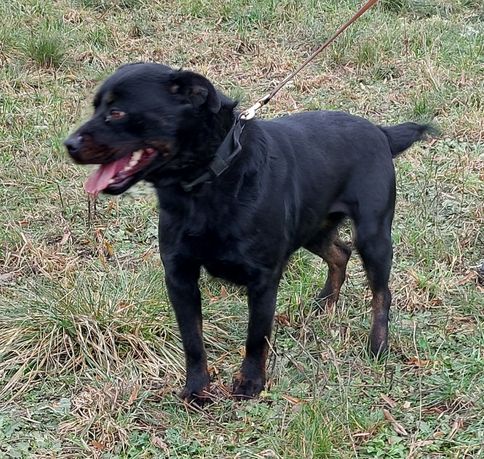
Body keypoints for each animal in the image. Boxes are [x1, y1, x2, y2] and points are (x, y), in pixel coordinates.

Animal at [64, 63, 432, 400]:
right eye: (95, 107)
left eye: (117, 112)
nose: (68, 144)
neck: (209, 180)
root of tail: (380, 132)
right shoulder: (179, 276)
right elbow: (192, 340)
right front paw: (197, 389)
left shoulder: (263, 279)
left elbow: (256, 337)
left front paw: (250, 383)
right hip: (313, 227)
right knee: (340, 252)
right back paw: (325, 303)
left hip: (373, 235)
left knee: (381, 292)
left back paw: (377, 345)